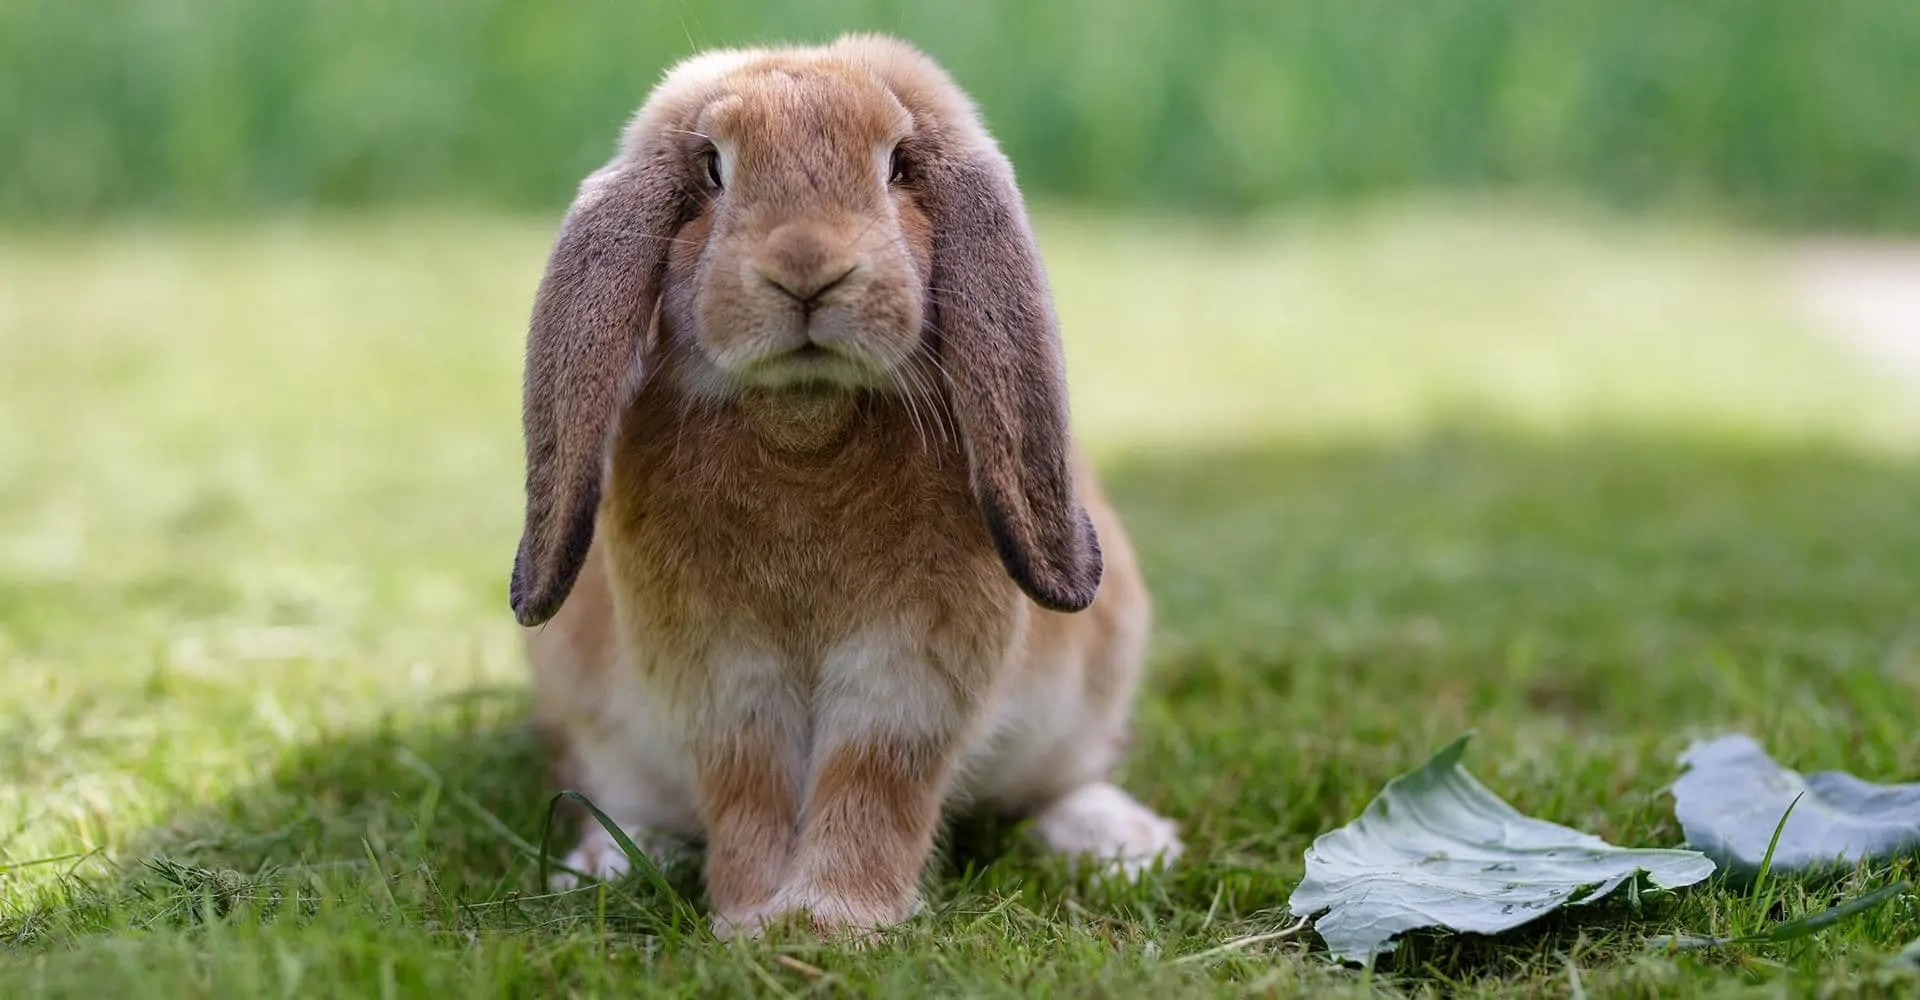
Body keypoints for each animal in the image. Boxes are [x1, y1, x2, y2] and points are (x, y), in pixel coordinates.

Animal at [510, 33, 1175, 936]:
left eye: (897, 166)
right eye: (713, 171)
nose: (807, 268)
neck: (806, 424)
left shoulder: (908, 672)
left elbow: (876, 780)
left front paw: (831, 921)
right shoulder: (721, 678)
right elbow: (747, 788)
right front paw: (755, 919)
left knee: (1061, 783)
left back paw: (1125, 845)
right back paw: (604, 864)